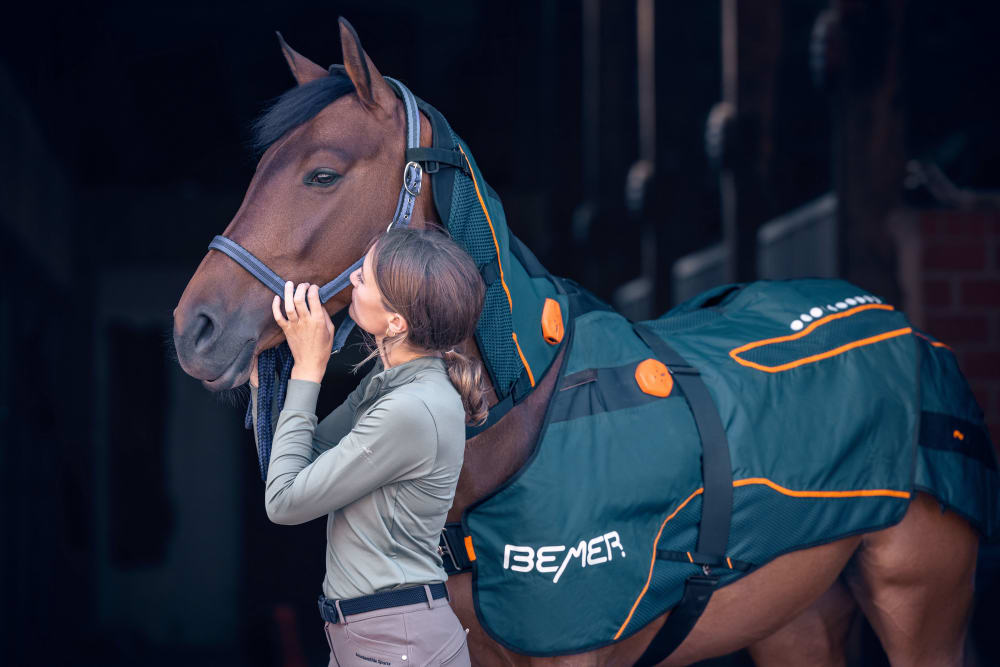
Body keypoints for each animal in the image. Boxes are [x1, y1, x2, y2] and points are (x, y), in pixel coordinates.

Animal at [174, 18, 984, 664]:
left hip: (920, 611)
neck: (523, 410)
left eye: (322, 173)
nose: (194, 329)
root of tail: (907, 331)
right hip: (796, 620)